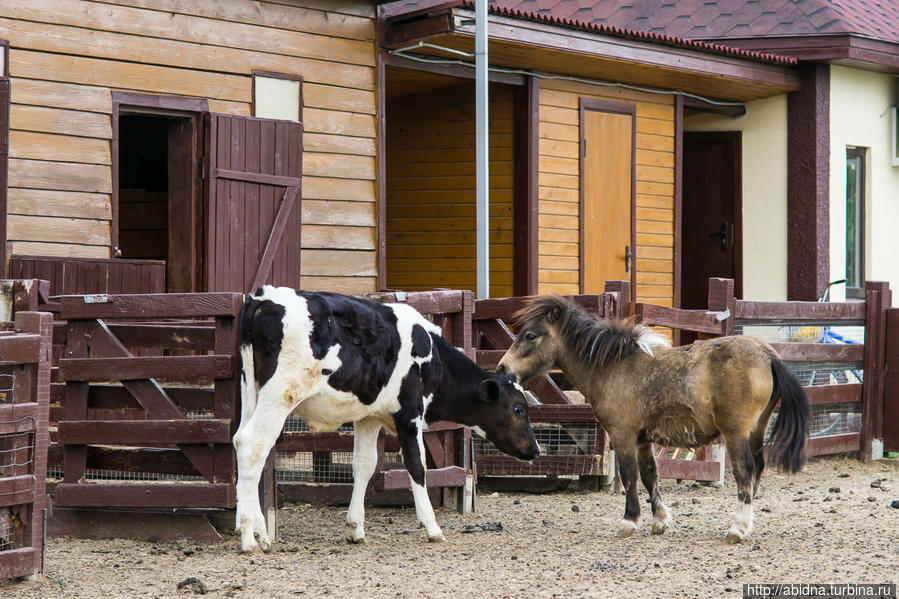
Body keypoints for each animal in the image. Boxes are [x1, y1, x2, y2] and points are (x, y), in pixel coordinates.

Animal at [234, 286, 540, 552]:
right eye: (518, 409)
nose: (535, 449)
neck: (434, 357)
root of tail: (263, 297)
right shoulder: (410, 414)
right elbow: (417, 466)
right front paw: (432, 527)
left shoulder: (368, 416)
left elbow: (365, 465)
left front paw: (355, 528)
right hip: (280, 394)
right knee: (253, 446)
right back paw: (250, 538)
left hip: (252, 391)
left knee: (242, 443)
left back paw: (255, 530)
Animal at [496, 298, 812, 548]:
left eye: (530, 335)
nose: (502, 369)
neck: (614, 367)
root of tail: (767, 354)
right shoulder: (641, 439)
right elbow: (650, 476)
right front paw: (659, 520)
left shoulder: (622, 435)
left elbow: (629, 475)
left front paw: (629, 521)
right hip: (757, 429)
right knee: (757, 469)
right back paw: (747, 523)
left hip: (735, 433)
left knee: (745, 471)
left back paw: (737, 527)